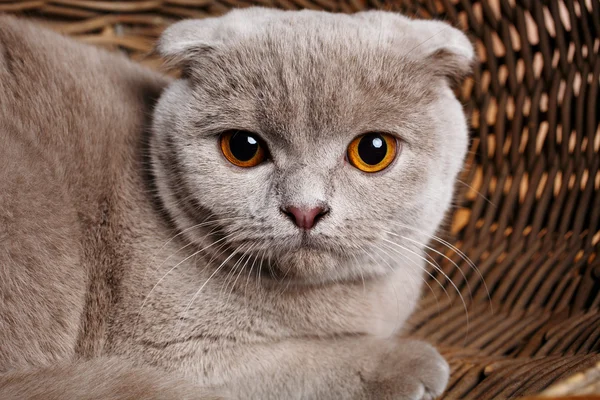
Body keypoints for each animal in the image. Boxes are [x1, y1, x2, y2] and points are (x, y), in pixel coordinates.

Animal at [0, 7, 476, 400]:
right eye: (244, 148)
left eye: (373, 150)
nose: (305, 209)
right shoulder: (174, 352)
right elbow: (304, 364)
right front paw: (407, 363)